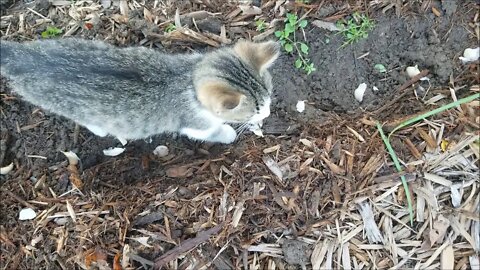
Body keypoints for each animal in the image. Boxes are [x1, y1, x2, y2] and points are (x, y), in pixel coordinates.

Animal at [0, 38, 280, 144]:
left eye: (268, 98)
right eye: (254, 110)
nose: (266, 115)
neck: (188, 79)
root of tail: (24, 55)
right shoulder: (194, 123)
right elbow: (210, 130)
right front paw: (227, 133)